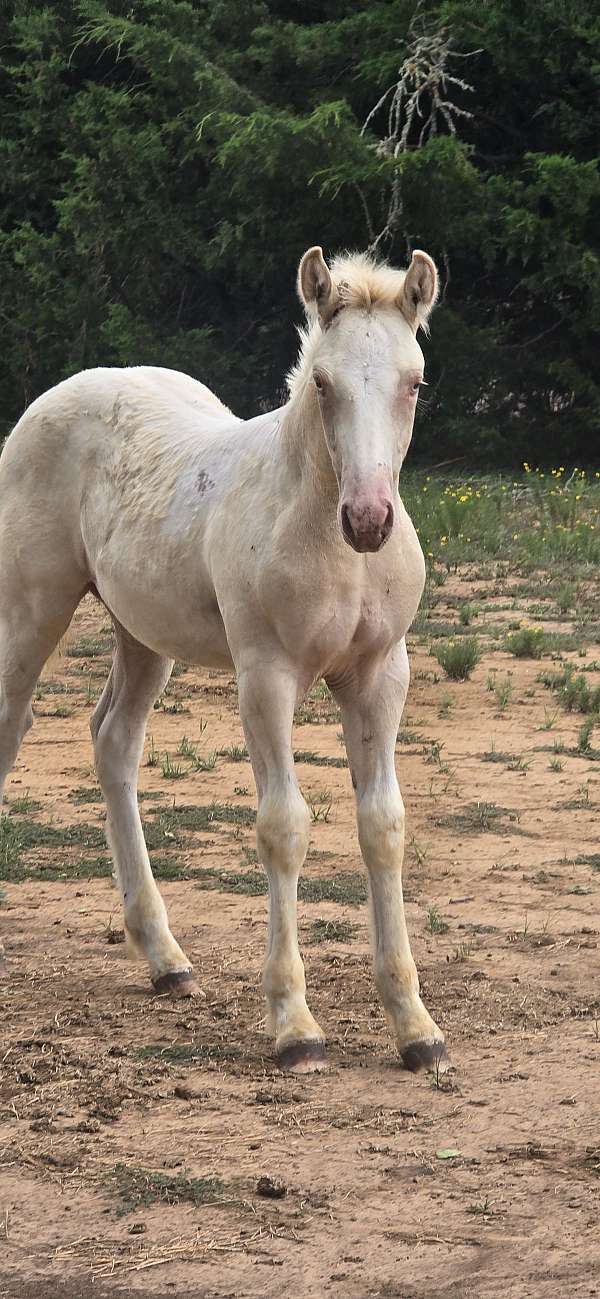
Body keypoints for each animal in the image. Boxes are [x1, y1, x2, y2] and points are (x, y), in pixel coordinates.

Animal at [0, 244, 446, 1074]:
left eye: (414, 381)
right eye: (323, 382)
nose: (369, 520)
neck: (322, 533)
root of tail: (65, 390)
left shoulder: (380, 675)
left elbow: (383, 825)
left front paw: (415, 1026)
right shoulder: (265, 675)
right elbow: (284, 825)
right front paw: (296, 1026)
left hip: (144, 633)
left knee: (114, 742)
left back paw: (166, 958)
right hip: (31, 608)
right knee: (13, 729)